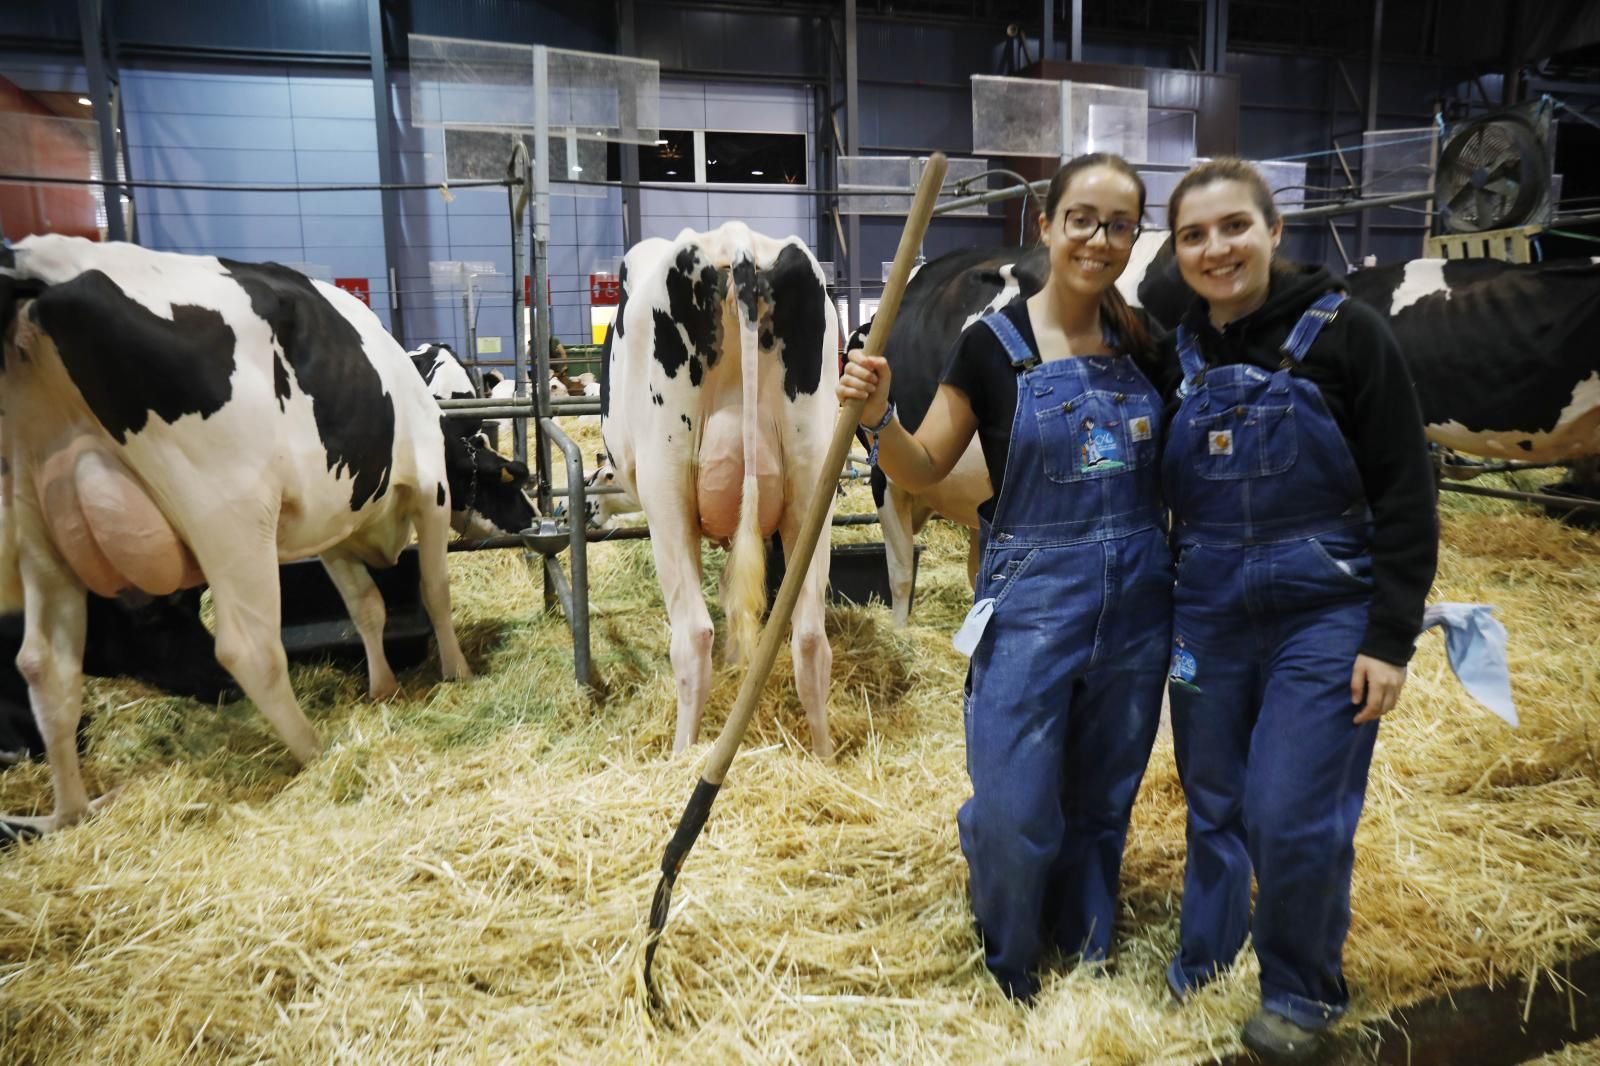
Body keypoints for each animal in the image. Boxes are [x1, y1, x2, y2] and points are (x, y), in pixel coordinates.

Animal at [0, 236, 473, 832]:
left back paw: (72, 814)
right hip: (226, 509)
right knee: (248, 648)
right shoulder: (432, 488)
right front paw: (457, 672)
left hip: (36, 523)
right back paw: (314, 749)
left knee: (45, 665)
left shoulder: (333, 531)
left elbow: (367, 607)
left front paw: (383, 687)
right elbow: (435, 592)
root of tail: (38, 264)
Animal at [601, 224, 838, 755]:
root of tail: (737, 239)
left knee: (693, 636)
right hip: (814, 478)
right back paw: (823, 756)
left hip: (666, 486)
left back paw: (682, 755)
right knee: (810, 636)